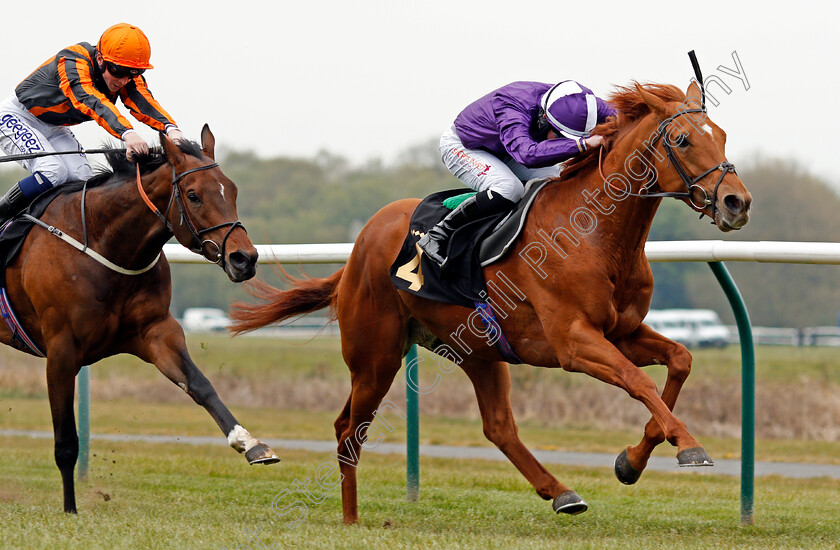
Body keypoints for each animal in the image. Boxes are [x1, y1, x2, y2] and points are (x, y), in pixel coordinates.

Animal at [0, 127, 282, 516]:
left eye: (232, 189)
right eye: (193, 195)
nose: (245, 259)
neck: (102, 242)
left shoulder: (157, 332)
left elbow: (201, 385)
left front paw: (251, 443)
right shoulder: (61, 350)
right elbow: (65, 441)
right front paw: (70, 509)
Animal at [231, 81, 756, 520]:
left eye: (722, 135)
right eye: (683, 140)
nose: (737, 202)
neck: (596, 234)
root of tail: (361, 243)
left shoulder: (621, 332)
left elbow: (680, 360)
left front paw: (631, 461)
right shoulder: (573, 342)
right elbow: (638, 382)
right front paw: (688, 445)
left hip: (476, 350)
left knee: (498, 426)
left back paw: (562, 493)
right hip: (375, 355)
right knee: (347, 429)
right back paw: (351, 518)